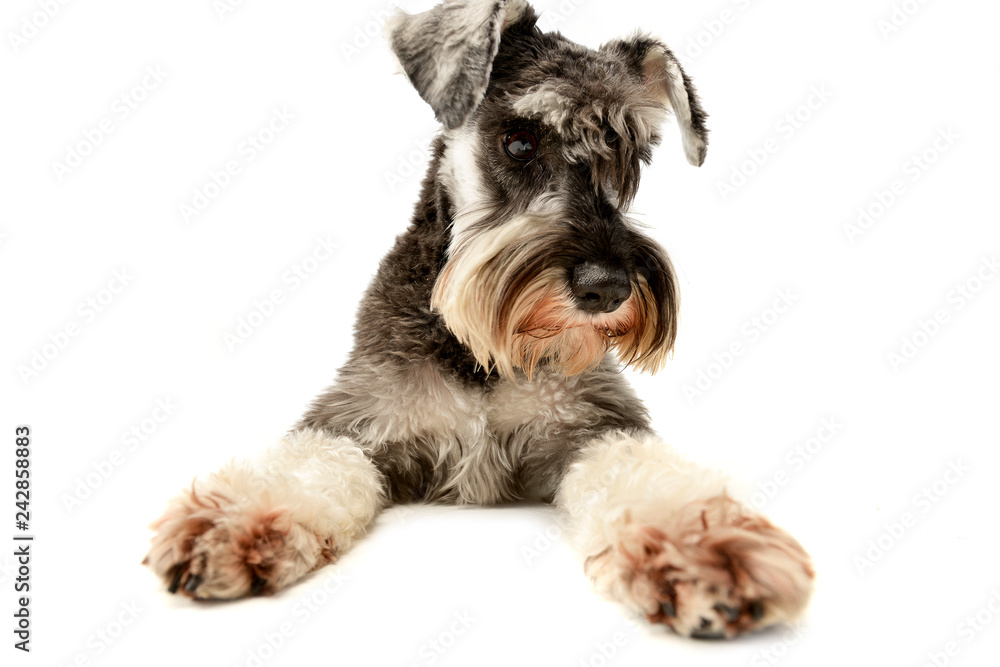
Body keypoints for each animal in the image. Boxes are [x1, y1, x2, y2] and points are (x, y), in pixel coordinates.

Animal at [143, 0, 812, 640]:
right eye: (519, 140)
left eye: (633, 156)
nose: (607, 287)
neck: (481, 353)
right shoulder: (356, 419)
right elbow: (306, 466)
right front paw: (232, 525)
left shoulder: (595, 424)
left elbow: (644, 476)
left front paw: (706, 553)